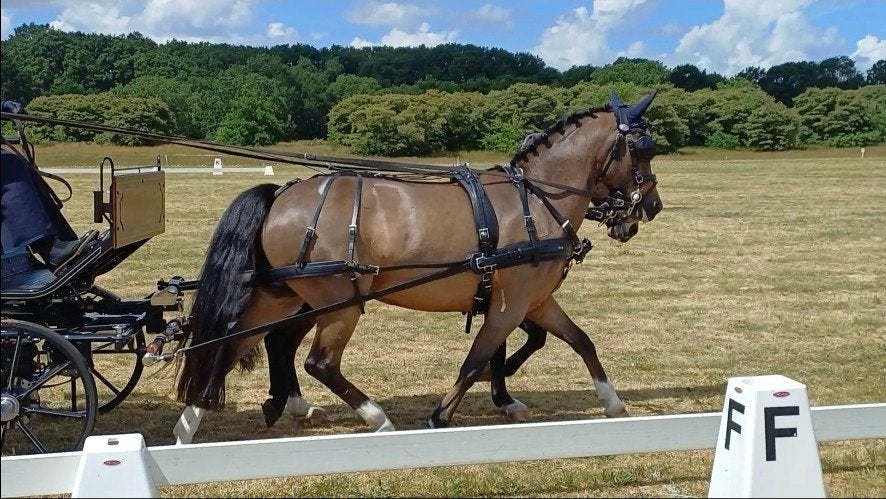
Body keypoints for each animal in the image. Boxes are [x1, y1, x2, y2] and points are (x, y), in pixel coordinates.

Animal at [172, 91, 662, 444]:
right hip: (339, 303)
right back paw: (377, 418)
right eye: (643, 149)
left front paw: (612, 402)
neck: (538, 198)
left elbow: (581, 341)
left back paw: (190, 425)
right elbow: (477, 359)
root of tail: (280, 195)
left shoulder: (536, 301)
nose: (650, 208)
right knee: (318, 363)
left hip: (280, 295)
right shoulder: (510, 304)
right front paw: (442, 415)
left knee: (229, 345)